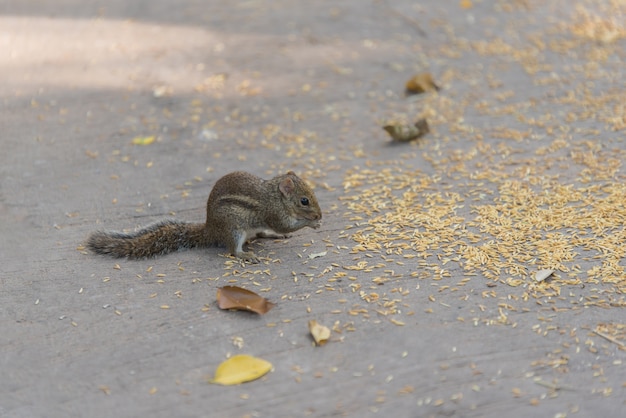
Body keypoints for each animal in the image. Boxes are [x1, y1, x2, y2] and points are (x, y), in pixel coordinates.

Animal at [86, 171, 322, 262]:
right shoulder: (273, 213)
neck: (275, 195)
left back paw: (273, 237)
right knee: (233, 250)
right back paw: (245, 255)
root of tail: (211, 229)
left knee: (260, 234)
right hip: (234, 229)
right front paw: (311, 223)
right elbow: (285, 225)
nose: (319, 214)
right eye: (304, 201)